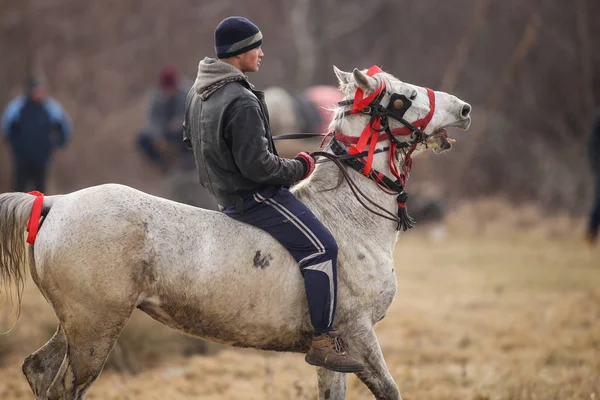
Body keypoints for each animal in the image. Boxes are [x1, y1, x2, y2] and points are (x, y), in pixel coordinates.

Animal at [0, 66, 468, 400]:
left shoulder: (338, 355)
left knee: (38, 369)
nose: (463, 109)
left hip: (78, 324)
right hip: (94, 329)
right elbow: (390, 390)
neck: (348, 216)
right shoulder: (358, 332)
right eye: (404, 97)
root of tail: (56, 203)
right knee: (64, 386)